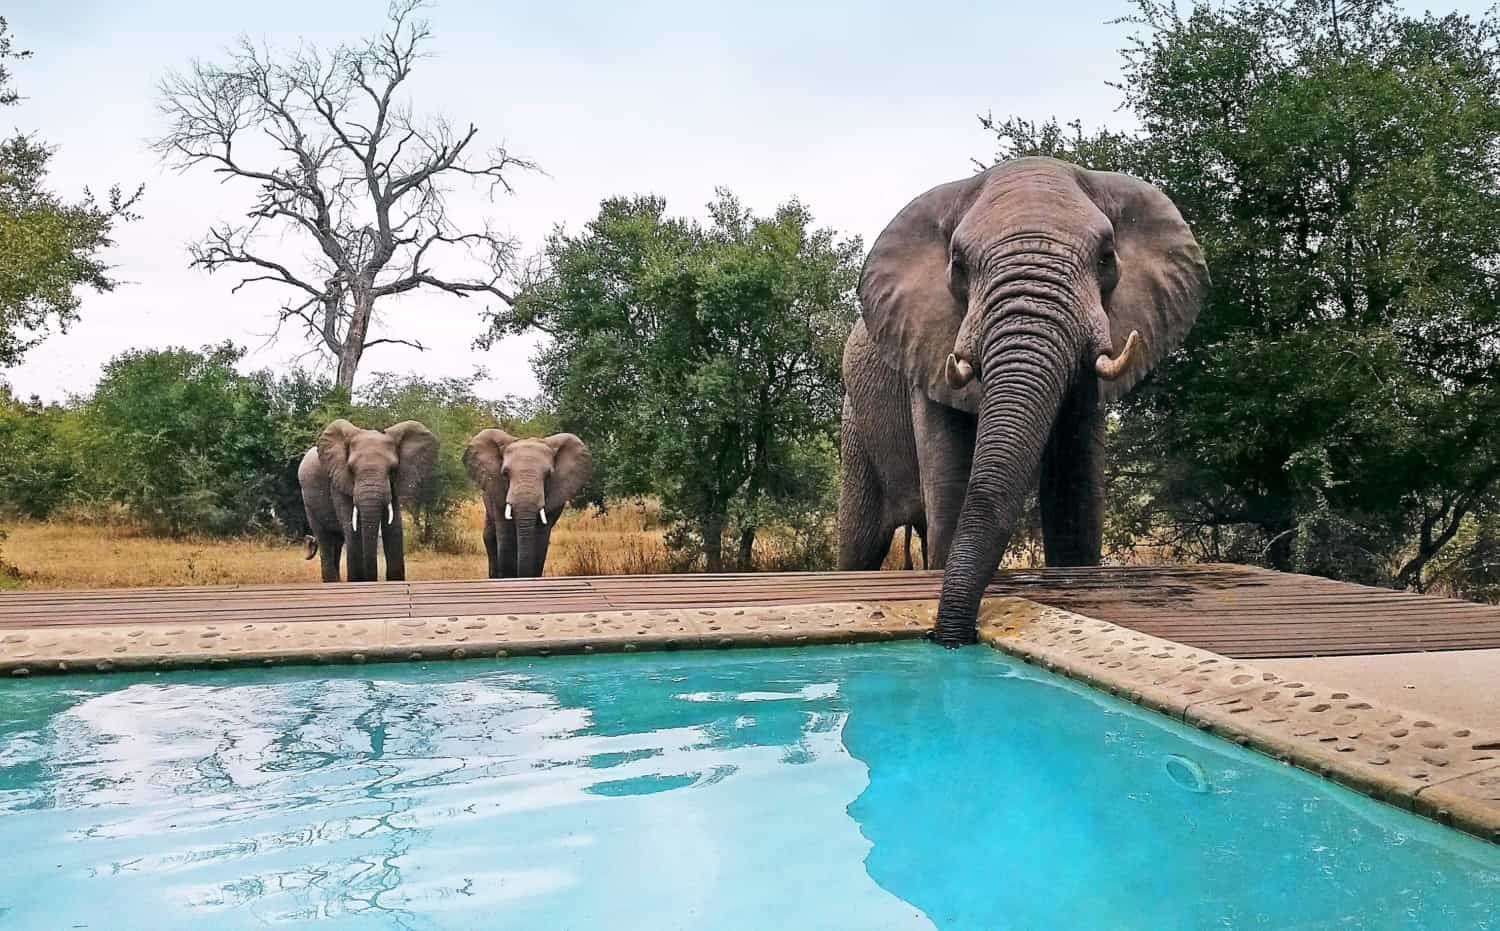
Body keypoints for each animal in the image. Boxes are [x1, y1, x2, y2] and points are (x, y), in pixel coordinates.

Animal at [298, 419, 439, 582]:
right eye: (351, 469)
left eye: (392, 469)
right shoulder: (338, 479)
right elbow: (353, 530)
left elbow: (394, 528)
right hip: (308, 501)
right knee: (324, 538)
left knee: (337, 541)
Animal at [838, 157, 1208, 646]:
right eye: (958, 264)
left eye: (1106, 256)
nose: (948, 639)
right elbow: (952, 485)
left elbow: (1075, 490)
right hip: (854, 426)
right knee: (859, 544)